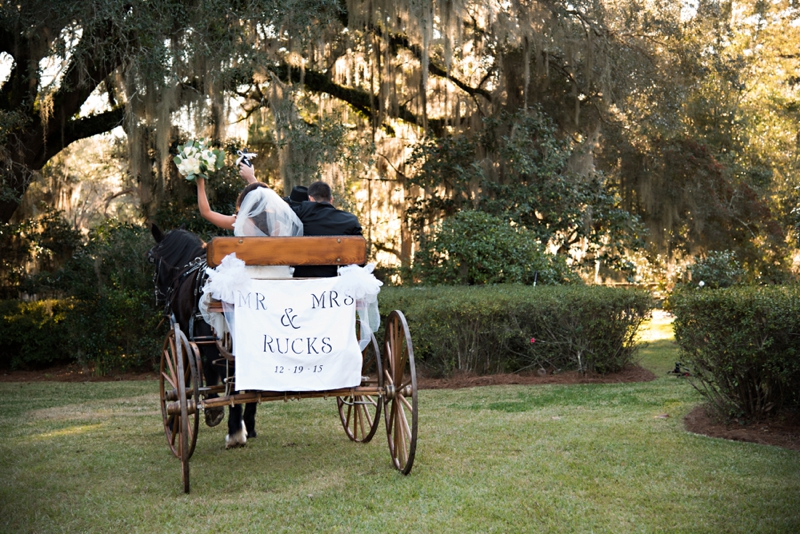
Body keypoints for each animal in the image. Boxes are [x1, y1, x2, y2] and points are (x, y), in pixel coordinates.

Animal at [148, 224, 258, 450]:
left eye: (151, 259)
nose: (157, 294)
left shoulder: (186, 334)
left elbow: (189, 374)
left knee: (230, 376)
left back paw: (235, 431)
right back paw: (248, 425)